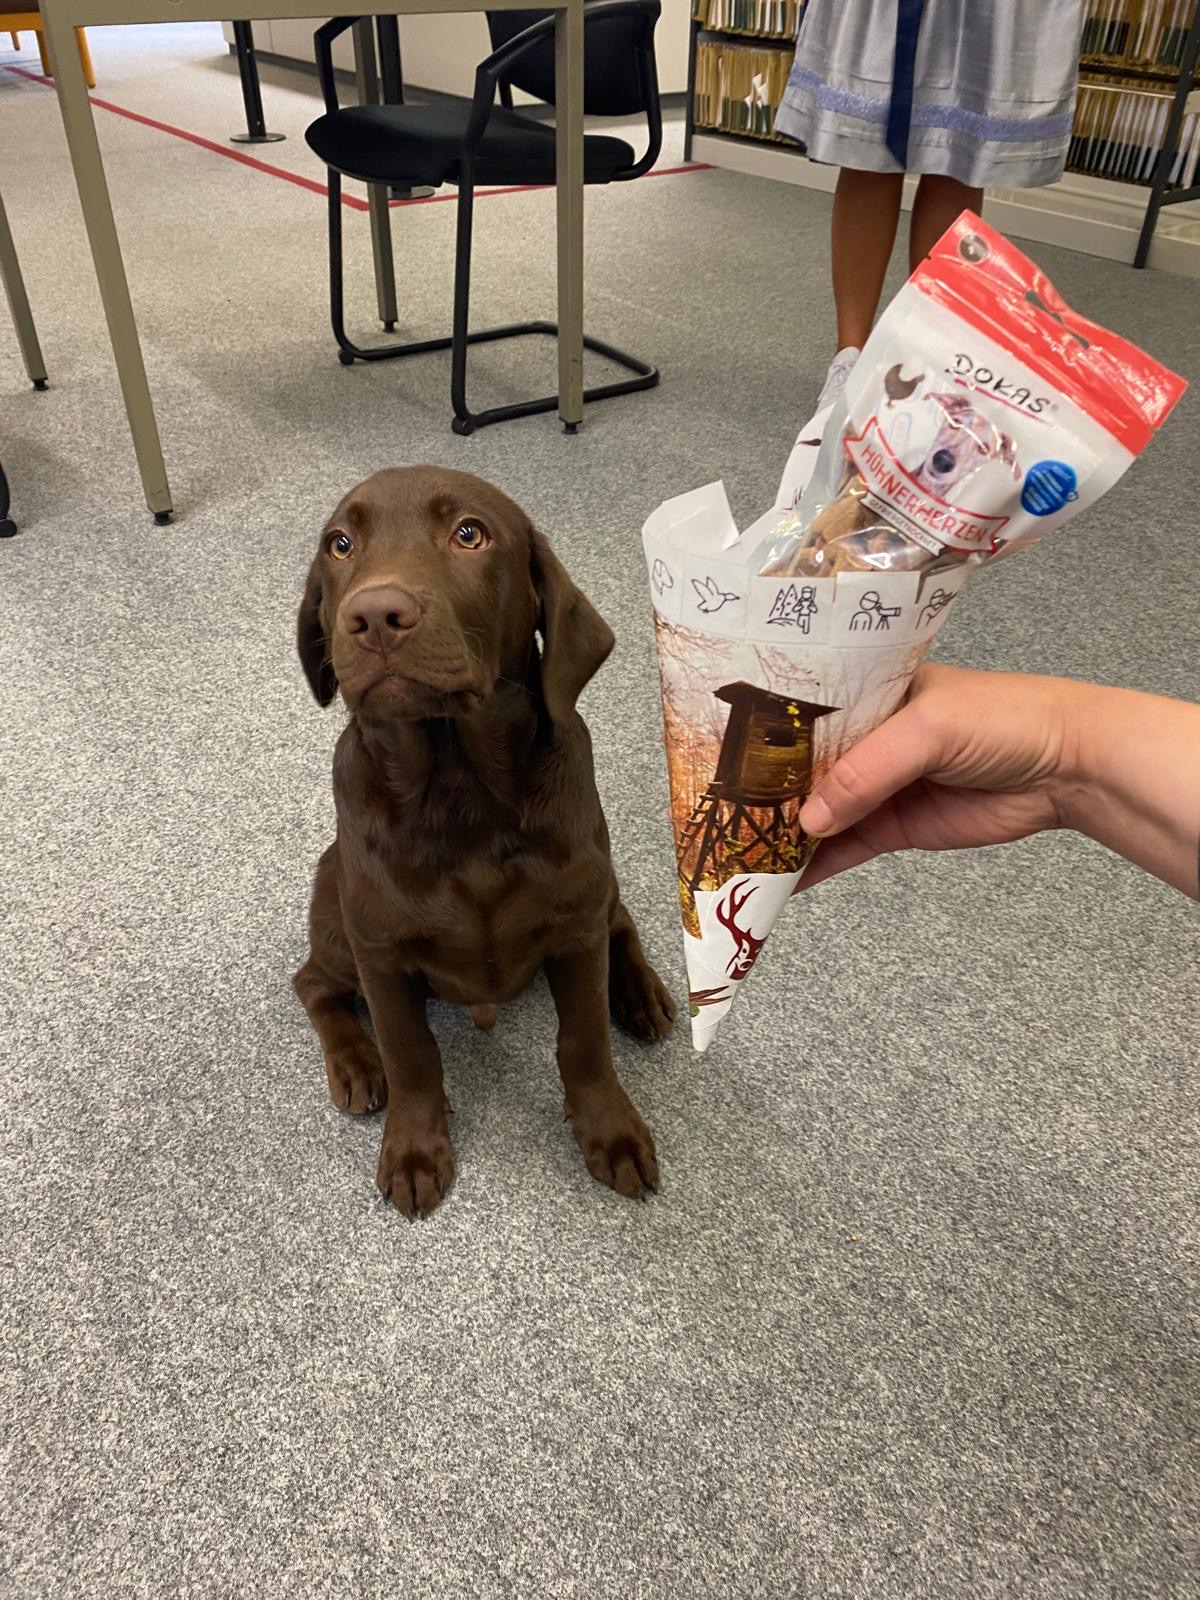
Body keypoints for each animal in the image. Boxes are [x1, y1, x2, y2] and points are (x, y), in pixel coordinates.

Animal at [292, 467, 675, 1217]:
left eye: (470, 534)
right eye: (340, 543)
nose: (373, 616)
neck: (460, 792)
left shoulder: (575, 927)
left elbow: (584, 1039)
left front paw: (610, 1130)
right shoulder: (380, 953)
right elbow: (411, 1052)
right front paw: (414, 1148)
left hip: (597, 881)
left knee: (620, 919)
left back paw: (640, 992)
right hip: (339, 917)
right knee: (312, 983)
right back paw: (355, 1061)